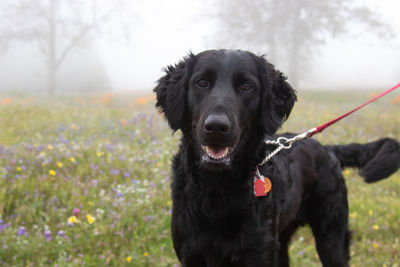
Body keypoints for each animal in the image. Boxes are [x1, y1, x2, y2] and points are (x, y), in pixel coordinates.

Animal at [154, 50, 400, 267]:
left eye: (247, 86)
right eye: (202, 82)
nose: (216, 127)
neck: (217, 191)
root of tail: (326, 148)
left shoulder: (259, 253)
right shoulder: (190, 253)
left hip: (331, 240)